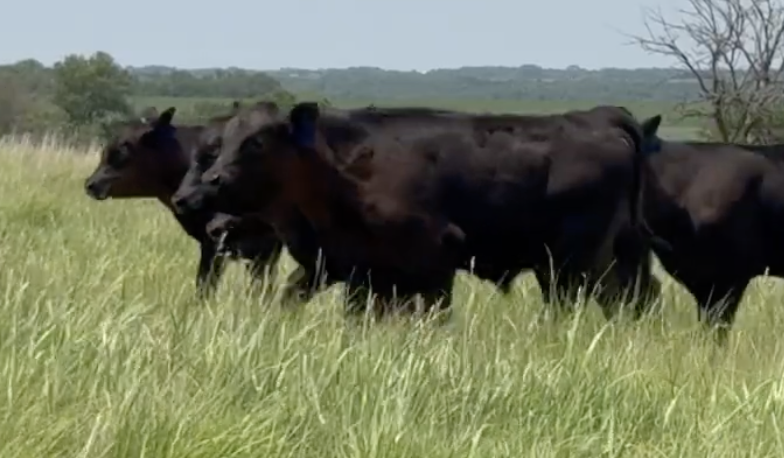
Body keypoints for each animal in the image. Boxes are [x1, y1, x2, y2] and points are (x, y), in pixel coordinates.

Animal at [173, 101, 664, 319]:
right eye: (222, 143)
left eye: (255, 143)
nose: (205, 191)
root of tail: (600, 118)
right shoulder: (344, 268)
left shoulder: (435, 263)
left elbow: (434, 314)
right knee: (637, 297)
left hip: (573, 263)